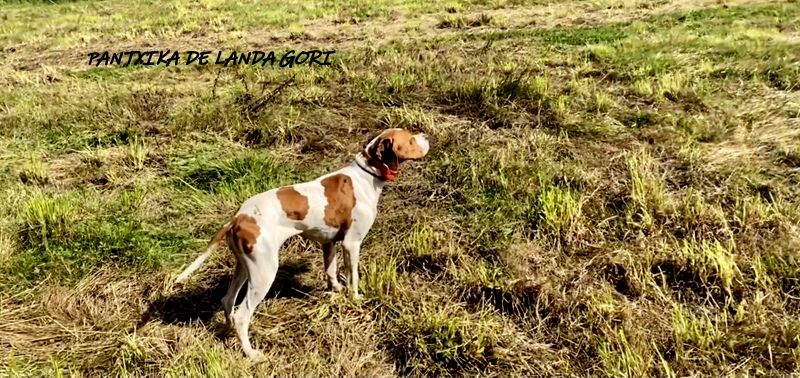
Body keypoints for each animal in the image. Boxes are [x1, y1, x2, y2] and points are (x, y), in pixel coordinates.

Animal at [172, 127, 428, 360]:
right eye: (410, 139)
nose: (425, 136)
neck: (367, 175)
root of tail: (237, 218)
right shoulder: (352, 243)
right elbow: (353, 276)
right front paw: (355, 299)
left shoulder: (329, 242)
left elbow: (331, 271)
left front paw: (335, 291)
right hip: (264, 273)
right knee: (242, 315)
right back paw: (251, 354)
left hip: (244, 268)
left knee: (228, 302)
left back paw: (228, 334)